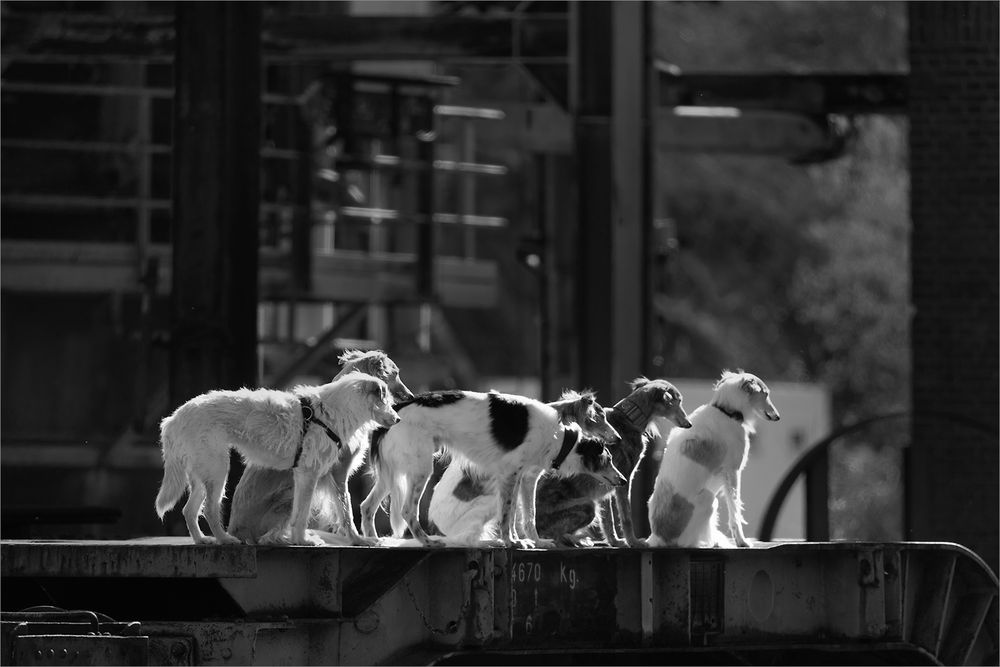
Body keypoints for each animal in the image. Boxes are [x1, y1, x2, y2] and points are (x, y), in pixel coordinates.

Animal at [156, 374, 398, 544]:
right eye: (386, 400)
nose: (398, 419)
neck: (331, 412)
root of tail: (174, 418)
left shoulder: (310, 476)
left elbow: (308, 512)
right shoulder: (313, 474)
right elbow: (313, 514)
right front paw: (303, 541)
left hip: (201, 474)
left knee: (189, 510)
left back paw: (202, 540)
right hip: (216, 470)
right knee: (209, 510)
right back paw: (224, 539)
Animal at [228, 352, 414, 544]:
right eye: (395, 373)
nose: (411, 396)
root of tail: (235, 530)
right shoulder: (339, 471)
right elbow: (345, 507)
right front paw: (356, 538)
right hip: (291, 496)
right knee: (269, 537)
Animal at [360, 388, 624, 552]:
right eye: (608, 458)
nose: (622, 480)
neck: (560, 437)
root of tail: (396, 409)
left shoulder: (524, 478)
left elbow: (526, 515)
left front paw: (534, 541)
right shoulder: (509, 475)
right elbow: (507, 516)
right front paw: (512, 542)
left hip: (390, 474)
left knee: (366, 506)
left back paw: (372, 540)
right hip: (421, 468)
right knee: (412, 513)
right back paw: (432, 542)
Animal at [430, 380, 696, 548]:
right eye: (678, 401)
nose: (689, 424)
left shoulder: (609, 480)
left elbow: (609, 522)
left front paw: (615, 541)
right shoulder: (622, 481)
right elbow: (625, 517)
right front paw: (632, 542)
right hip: (580, 506)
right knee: (468, 537)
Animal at [648, 370, 780, 548]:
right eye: (765, 394)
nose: (778, 417)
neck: (726, 412)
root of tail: (658, 536)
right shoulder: (733, 472)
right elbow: (735, 512)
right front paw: (742, 541)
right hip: (709, 499)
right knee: (689, 542)